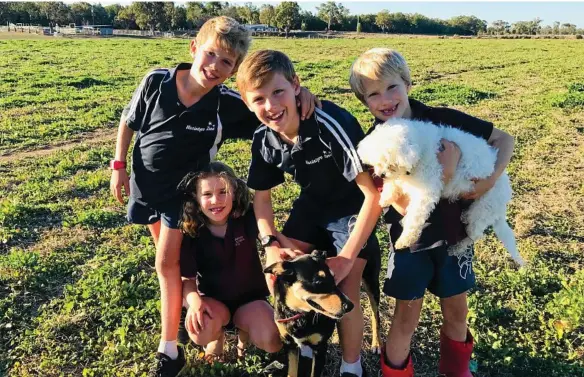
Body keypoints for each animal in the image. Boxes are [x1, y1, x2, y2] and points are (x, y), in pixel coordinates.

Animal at [358, 117, 528, 264]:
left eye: (391, 164)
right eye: (376, 162)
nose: (381, 174)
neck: (421, 148)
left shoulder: (426, 192)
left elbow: (414, 217)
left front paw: (406, 239)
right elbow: (394, 183)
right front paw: (386, 196)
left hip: (482, 211)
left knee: (474, 235)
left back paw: (457, 248)